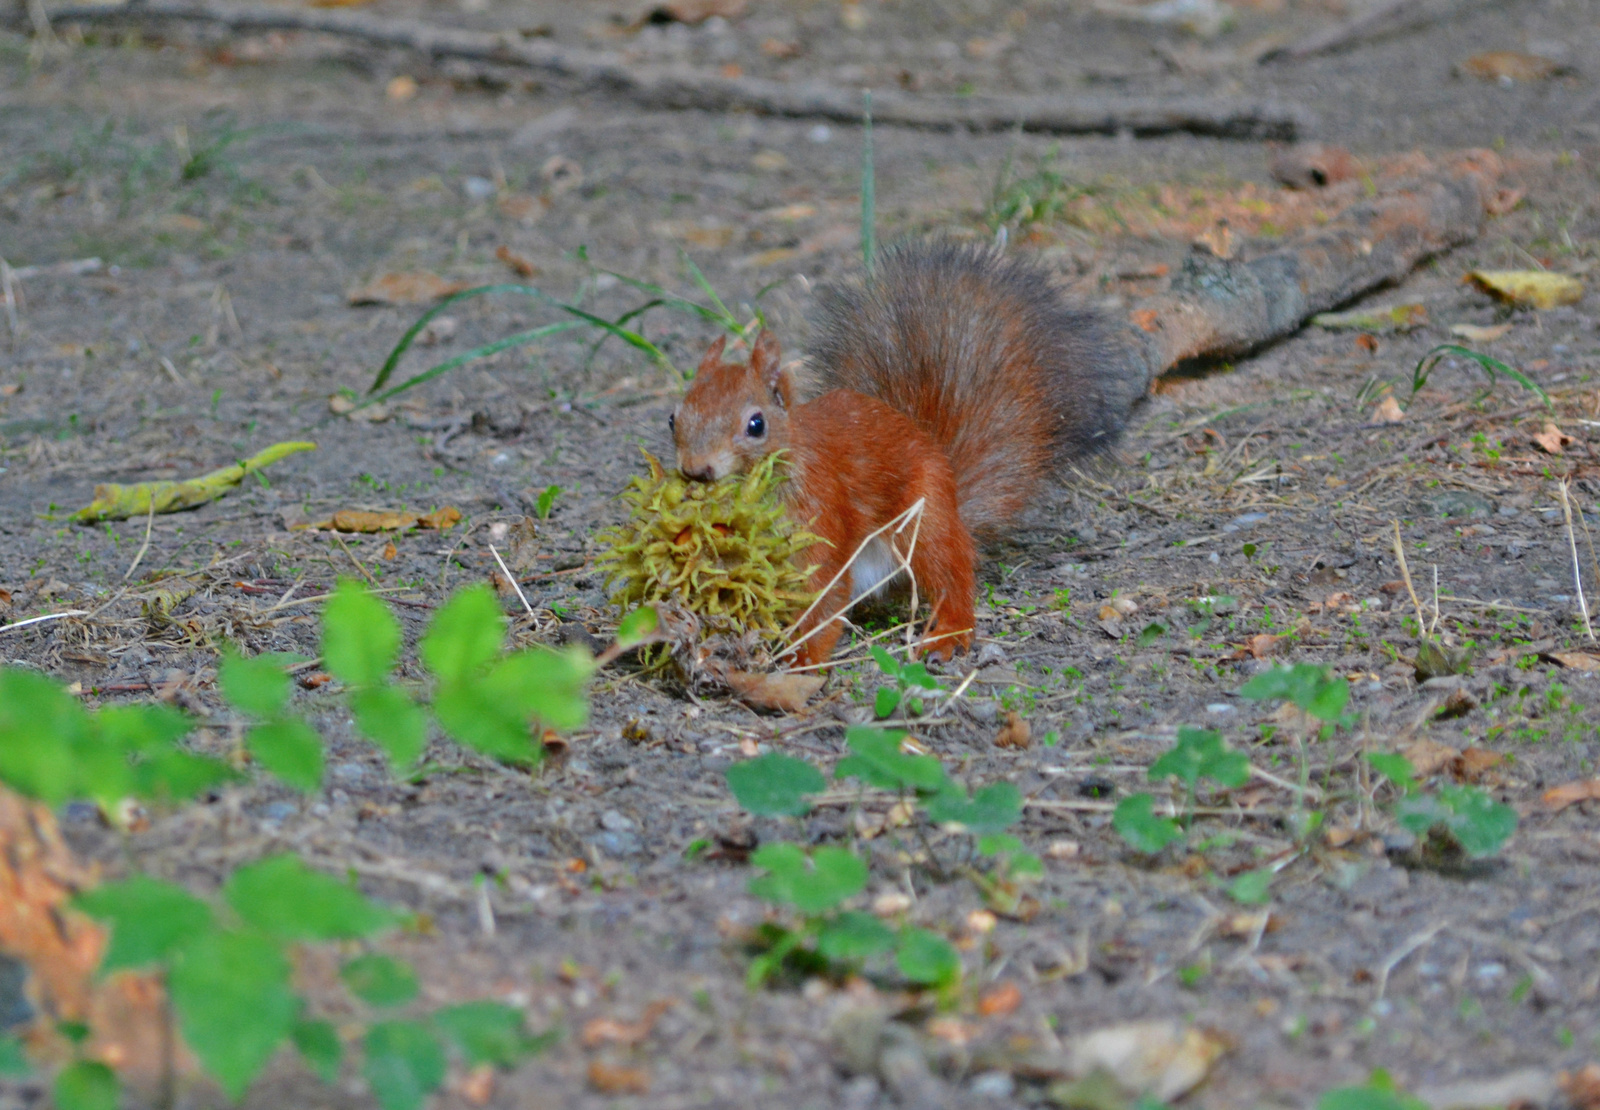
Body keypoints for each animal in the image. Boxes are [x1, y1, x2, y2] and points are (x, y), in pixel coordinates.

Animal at [668, 238, 1132, 665]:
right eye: (673, 418)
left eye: (756, 424)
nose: (696, 470)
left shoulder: (819, 514)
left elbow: (824, 595)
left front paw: (803, 658)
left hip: (925, 522)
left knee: (950, 574)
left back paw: (948, 633)